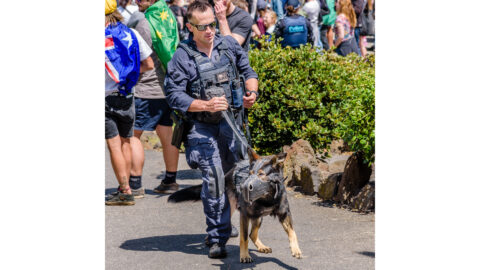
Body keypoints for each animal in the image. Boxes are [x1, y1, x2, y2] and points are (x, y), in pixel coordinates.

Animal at [168, 149, 300, 262]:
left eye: (261, 174)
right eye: (250, 173)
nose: (244, 187)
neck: (267, 197)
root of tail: (228, 173)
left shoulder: (285, 214)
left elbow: (293, 233)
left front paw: (296, 250)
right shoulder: (244, 215)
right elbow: (244, 238)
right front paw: (245, 256)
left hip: (258, 217)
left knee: (252, 234)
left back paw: (261, 246)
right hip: (229, 209)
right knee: (223, 224)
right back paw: (212, 241)